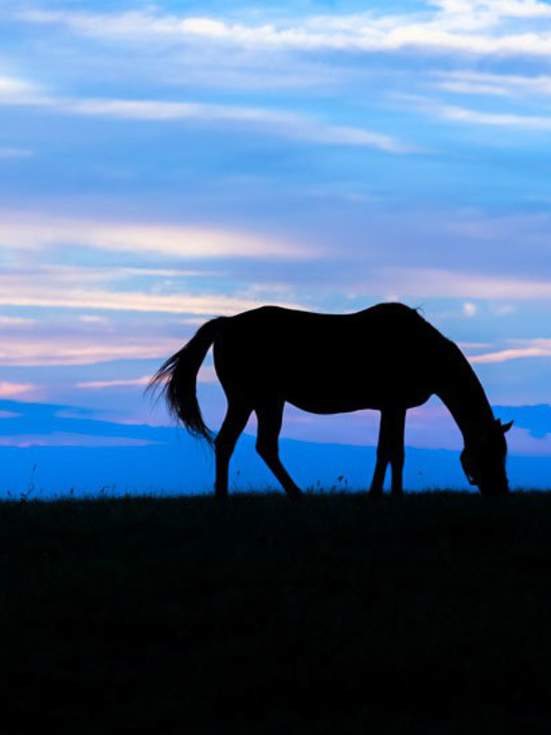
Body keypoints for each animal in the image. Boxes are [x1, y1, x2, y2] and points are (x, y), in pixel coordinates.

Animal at [149, 303, 512, 498]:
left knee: (259, 446)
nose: (501, 491)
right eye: (491, 453)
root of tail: (226, 324)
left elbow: (389, 452)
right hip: (249, 399)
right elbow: (392, 453)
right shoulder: (394, 406)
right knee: (232, 443)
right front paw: (388, 496)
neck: (422, 349)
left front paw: (381, 495)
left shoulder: (392, 408)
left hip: (267, 401)